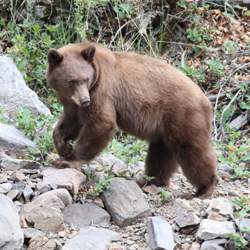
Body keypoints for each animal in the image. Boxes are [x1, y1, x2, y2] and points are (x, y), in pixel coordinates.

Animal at [46, 43, 218, 199]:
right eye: (71, 81)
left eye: (86, 79)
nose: (84, 100)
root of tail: (206, 100)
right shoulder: (72, 103)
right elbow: (70, 122)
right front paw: (63, 147)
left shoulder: (101, 91)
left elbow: (100, 123)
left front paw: (66, 160)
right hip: (166, 126)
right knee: (160, 154)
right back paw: (147, 181)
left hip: (183, 114)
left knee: (192, 150)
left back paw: (204, 189)